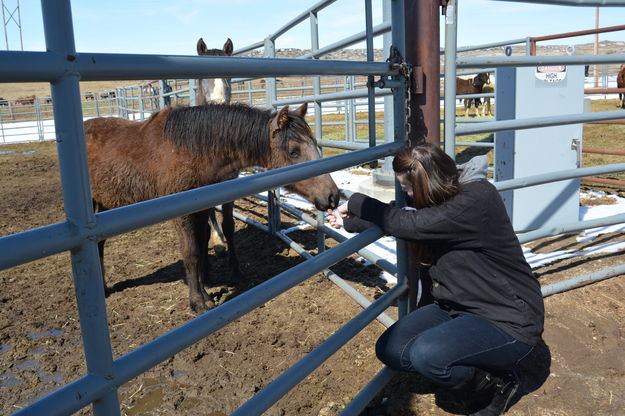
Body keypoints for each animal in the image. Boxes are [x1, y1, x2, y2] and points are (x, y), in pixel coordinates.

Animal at [85, 102, 338, 314]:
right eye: (294, 151)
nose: (333, 196)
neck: (193, 151)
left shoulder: (201, 210)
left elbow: (203, 243)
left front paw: (206, 287)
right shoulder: (183, 215)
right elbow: (191, 253)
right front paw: (199, 302)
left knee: (99, 243)